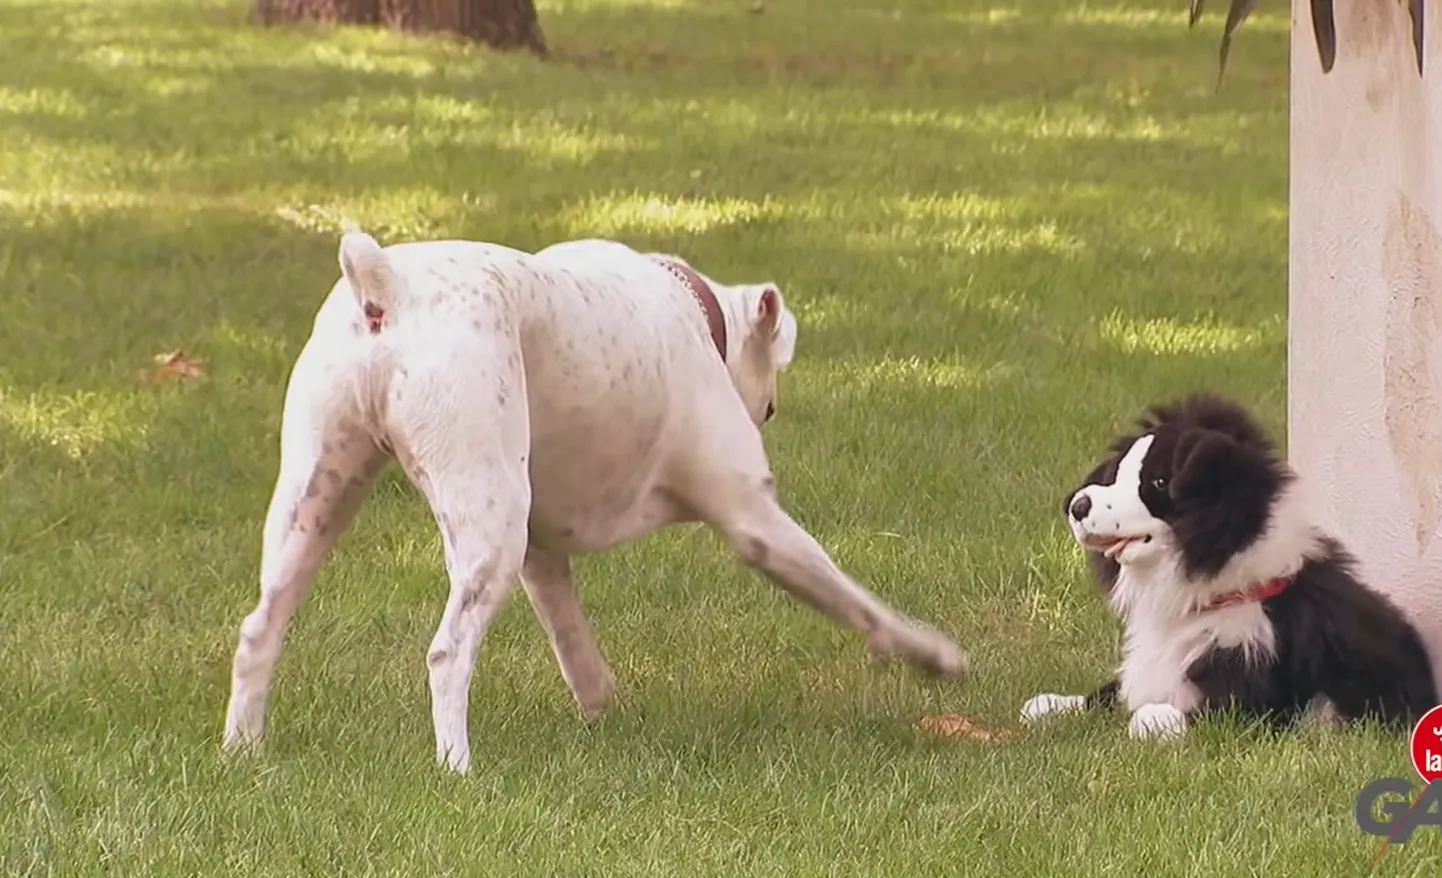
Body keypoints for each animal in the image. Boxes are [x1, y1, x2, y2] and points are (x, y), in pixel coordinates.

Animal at [222, 229, 969, 772]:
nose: (768, 408)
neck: (689, 306)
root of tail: (385, 287)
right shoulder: (756, 521)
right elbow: (856, 600)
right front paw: (931, 654)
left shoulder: (541, 555)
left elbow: (574, 641)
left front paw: (602, 710)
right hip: (484, 528)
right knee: (447, 653)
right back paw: (458, 770)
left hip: (316, 507)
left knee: (260, 627)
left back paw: (242, 751)